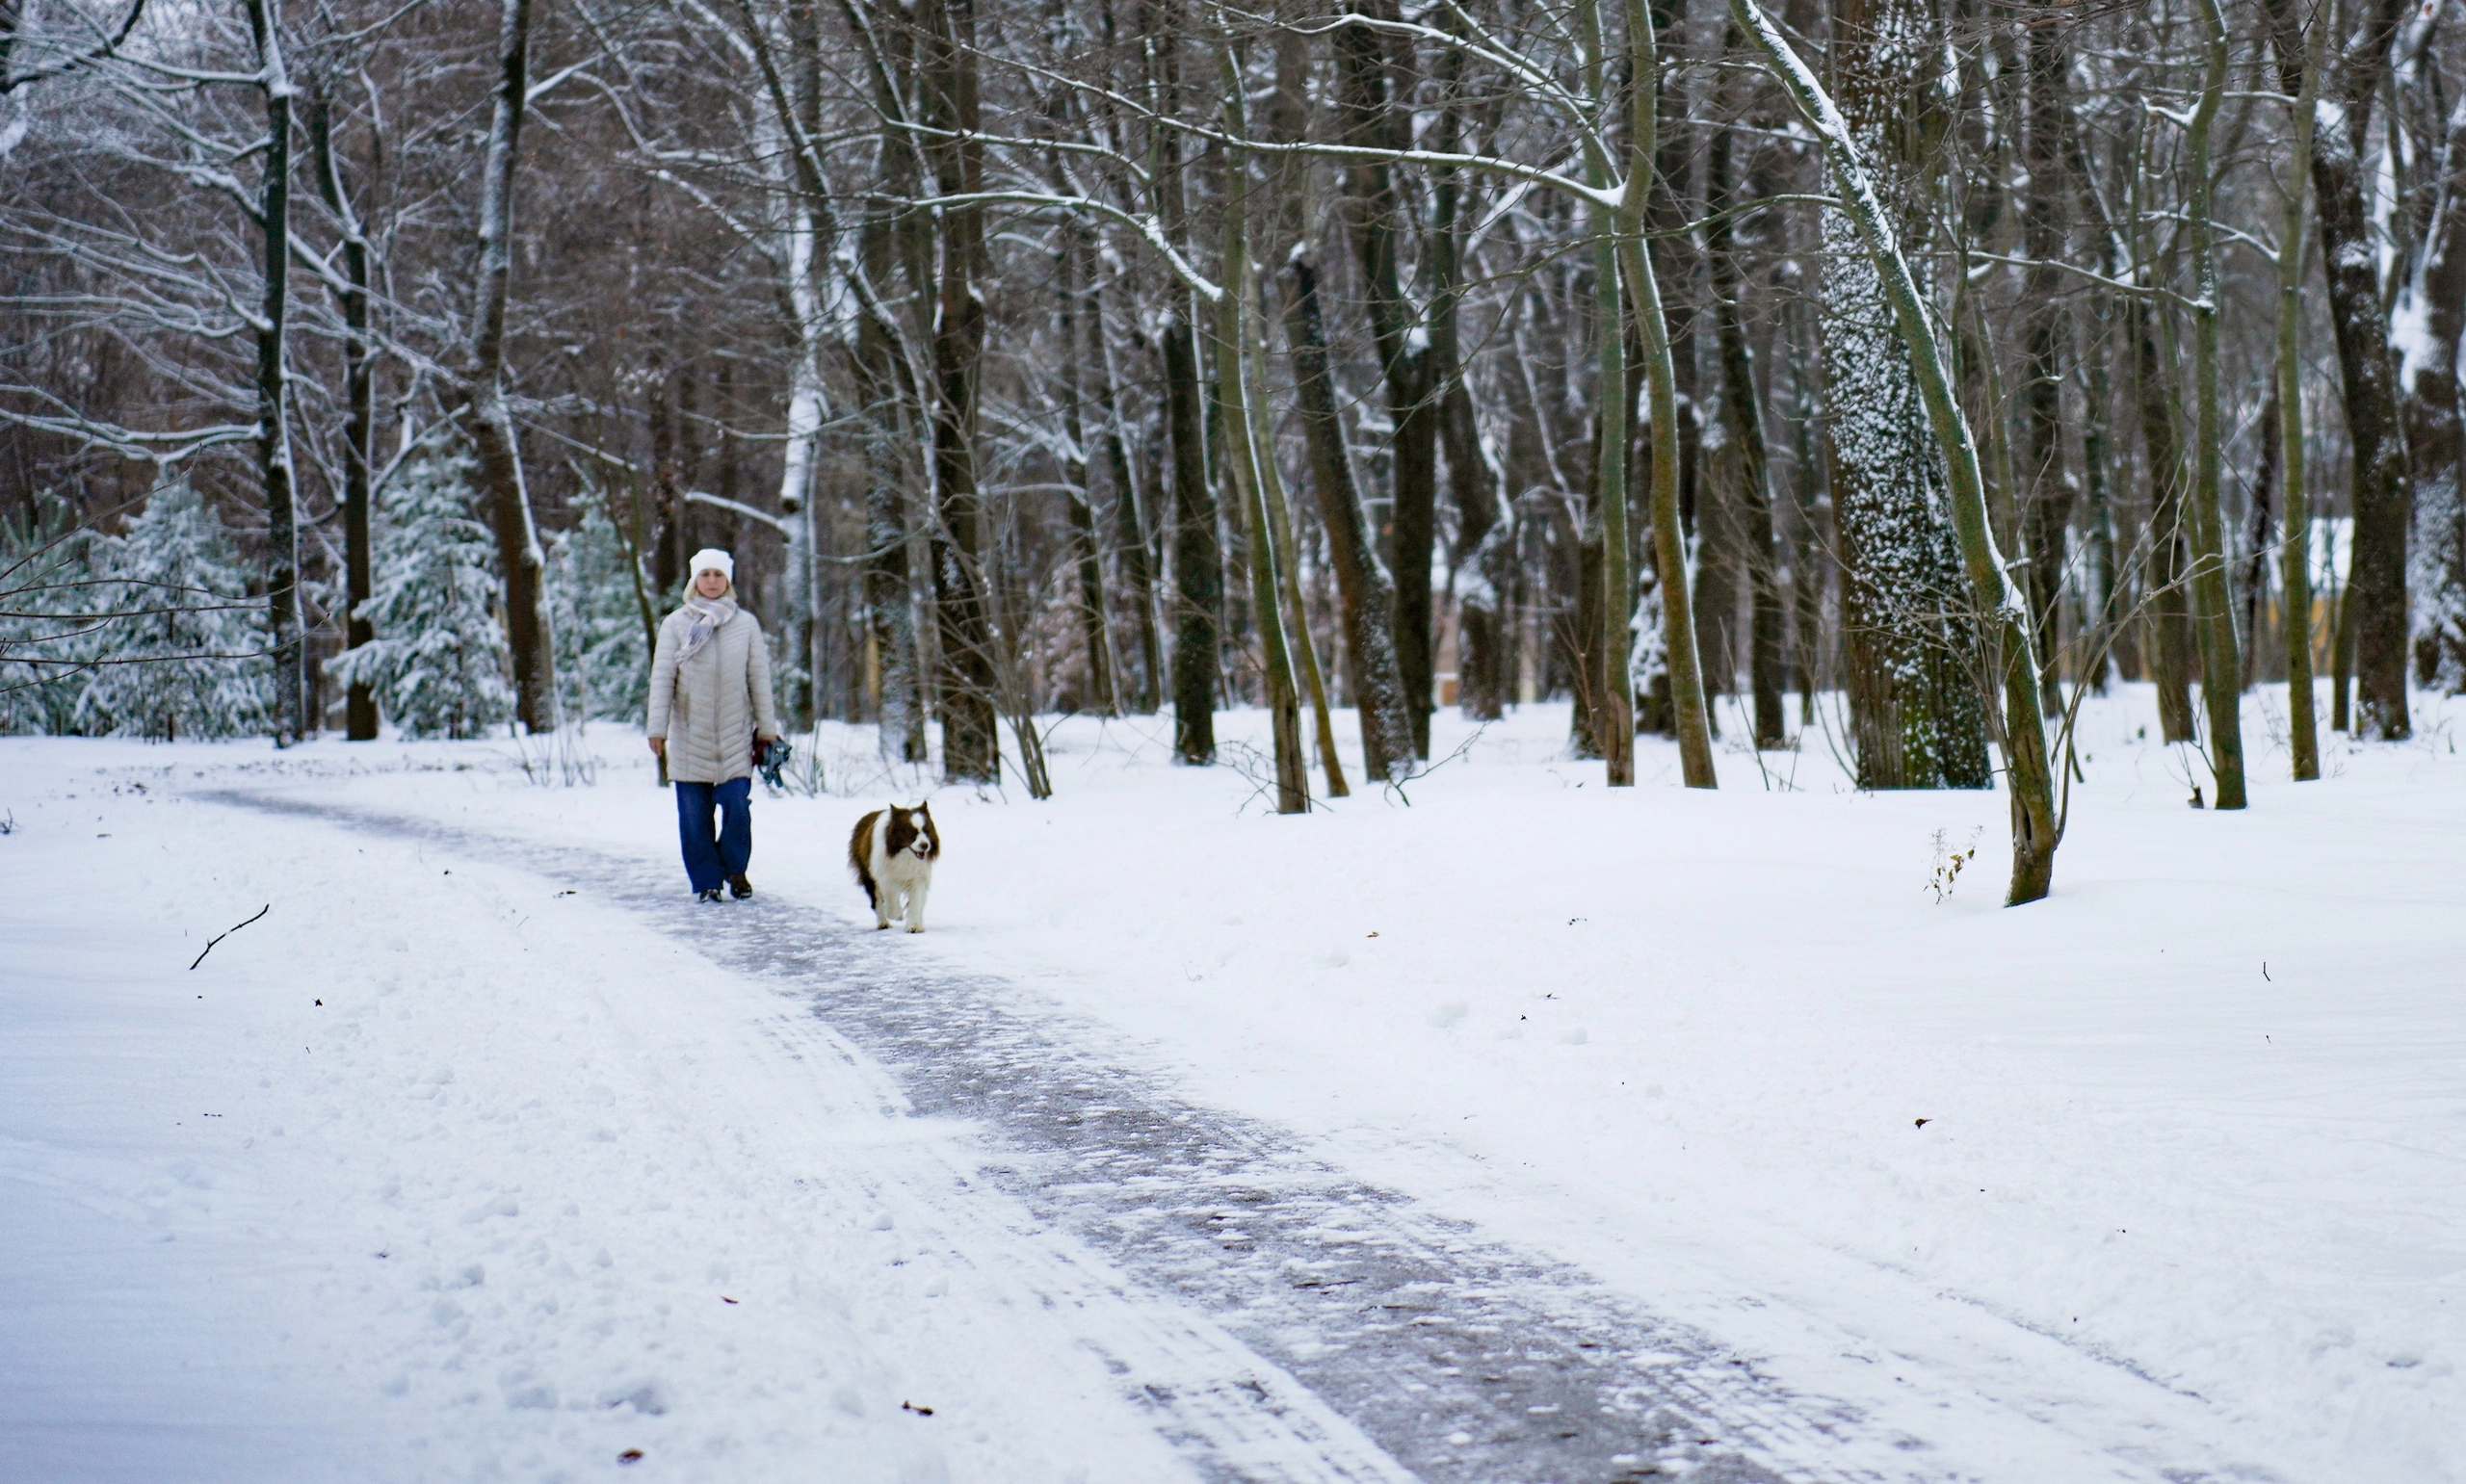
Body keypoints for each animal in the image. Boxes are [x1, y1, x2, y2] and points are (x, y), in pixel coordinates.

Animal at [838, 803, 931, 931]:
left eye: (926, 831)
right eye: (912, 832)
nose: (925, 845)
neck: (902, 856)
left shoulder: (917, 876)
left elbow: (916, 901)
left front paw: (914, 926)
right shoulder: (884, 876)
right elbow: (890, 897)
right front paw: (896, 914)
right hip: (868, 875)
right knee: (877, 900)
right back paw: (883, 923)